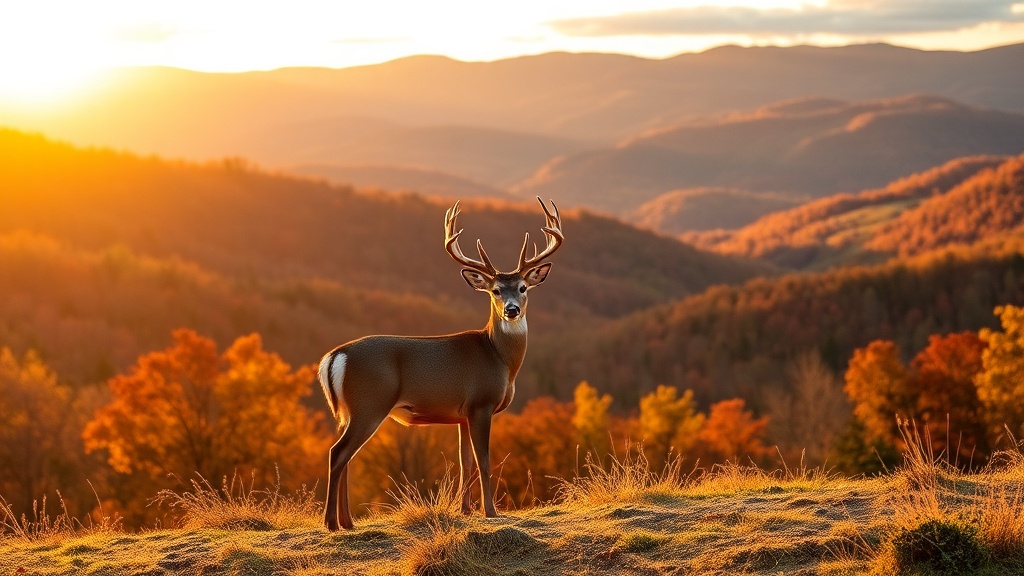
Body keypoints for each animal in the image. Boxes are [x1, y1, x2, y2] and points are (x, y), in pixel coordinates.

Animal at [317, 197, 564, 530]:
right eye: (496, 290)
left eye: (523, 287)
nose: (511, 309)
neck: (498, 358)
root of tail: (335, 356)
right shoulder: (481, 403)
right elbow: (484, 460)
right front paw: (491, 512)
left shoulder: (462, 415)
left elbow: (465, 463)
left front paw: (465, 510)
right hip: (369, 403)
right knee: (338, 453)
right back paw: (332, 523)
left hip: (349, 412)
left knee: (346, 456)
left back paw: (348, 522)